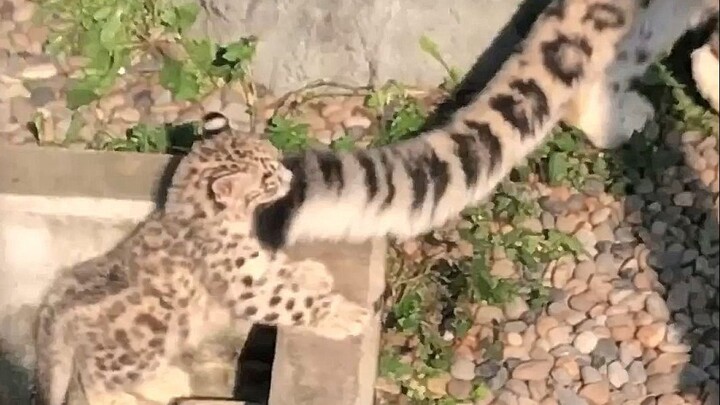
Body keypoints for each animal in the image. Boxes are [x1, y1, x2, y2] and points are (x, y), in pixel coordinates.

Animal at [33, 112, 371, 405]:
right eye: (267, 177)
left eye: (275, 156)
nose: (289, 176)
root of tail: (55, 309)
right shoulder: (242, 287)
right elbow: (290, 302)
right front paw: (344, 315)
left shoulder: (251, 264)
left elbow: (274, 265)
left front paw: (310, 271)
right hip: (145, 339)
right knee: (93, 378)